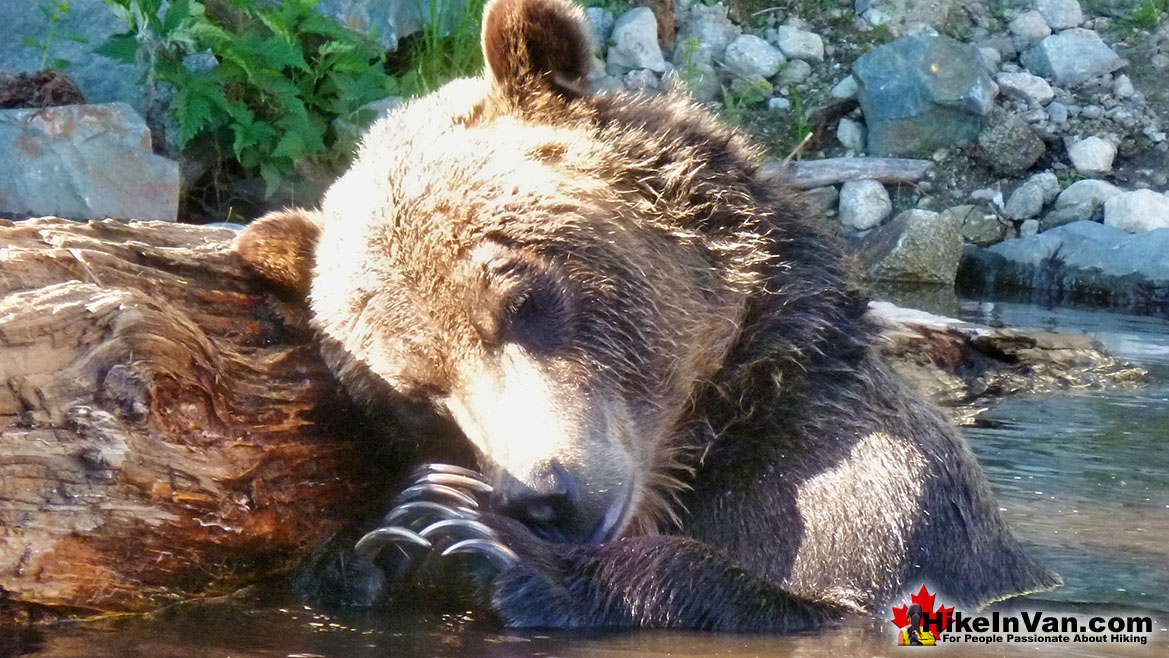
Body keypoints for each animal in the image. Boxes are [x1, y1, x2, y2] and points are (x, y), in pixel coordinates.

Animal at [232, 0, 1056, 631]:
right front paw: (381, 538)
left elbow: (822, 597)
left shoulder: (871, 495)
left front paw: (485, 540)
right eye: (417, 392)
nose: (541, 498)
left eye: (522, 299)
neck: (703, 439)